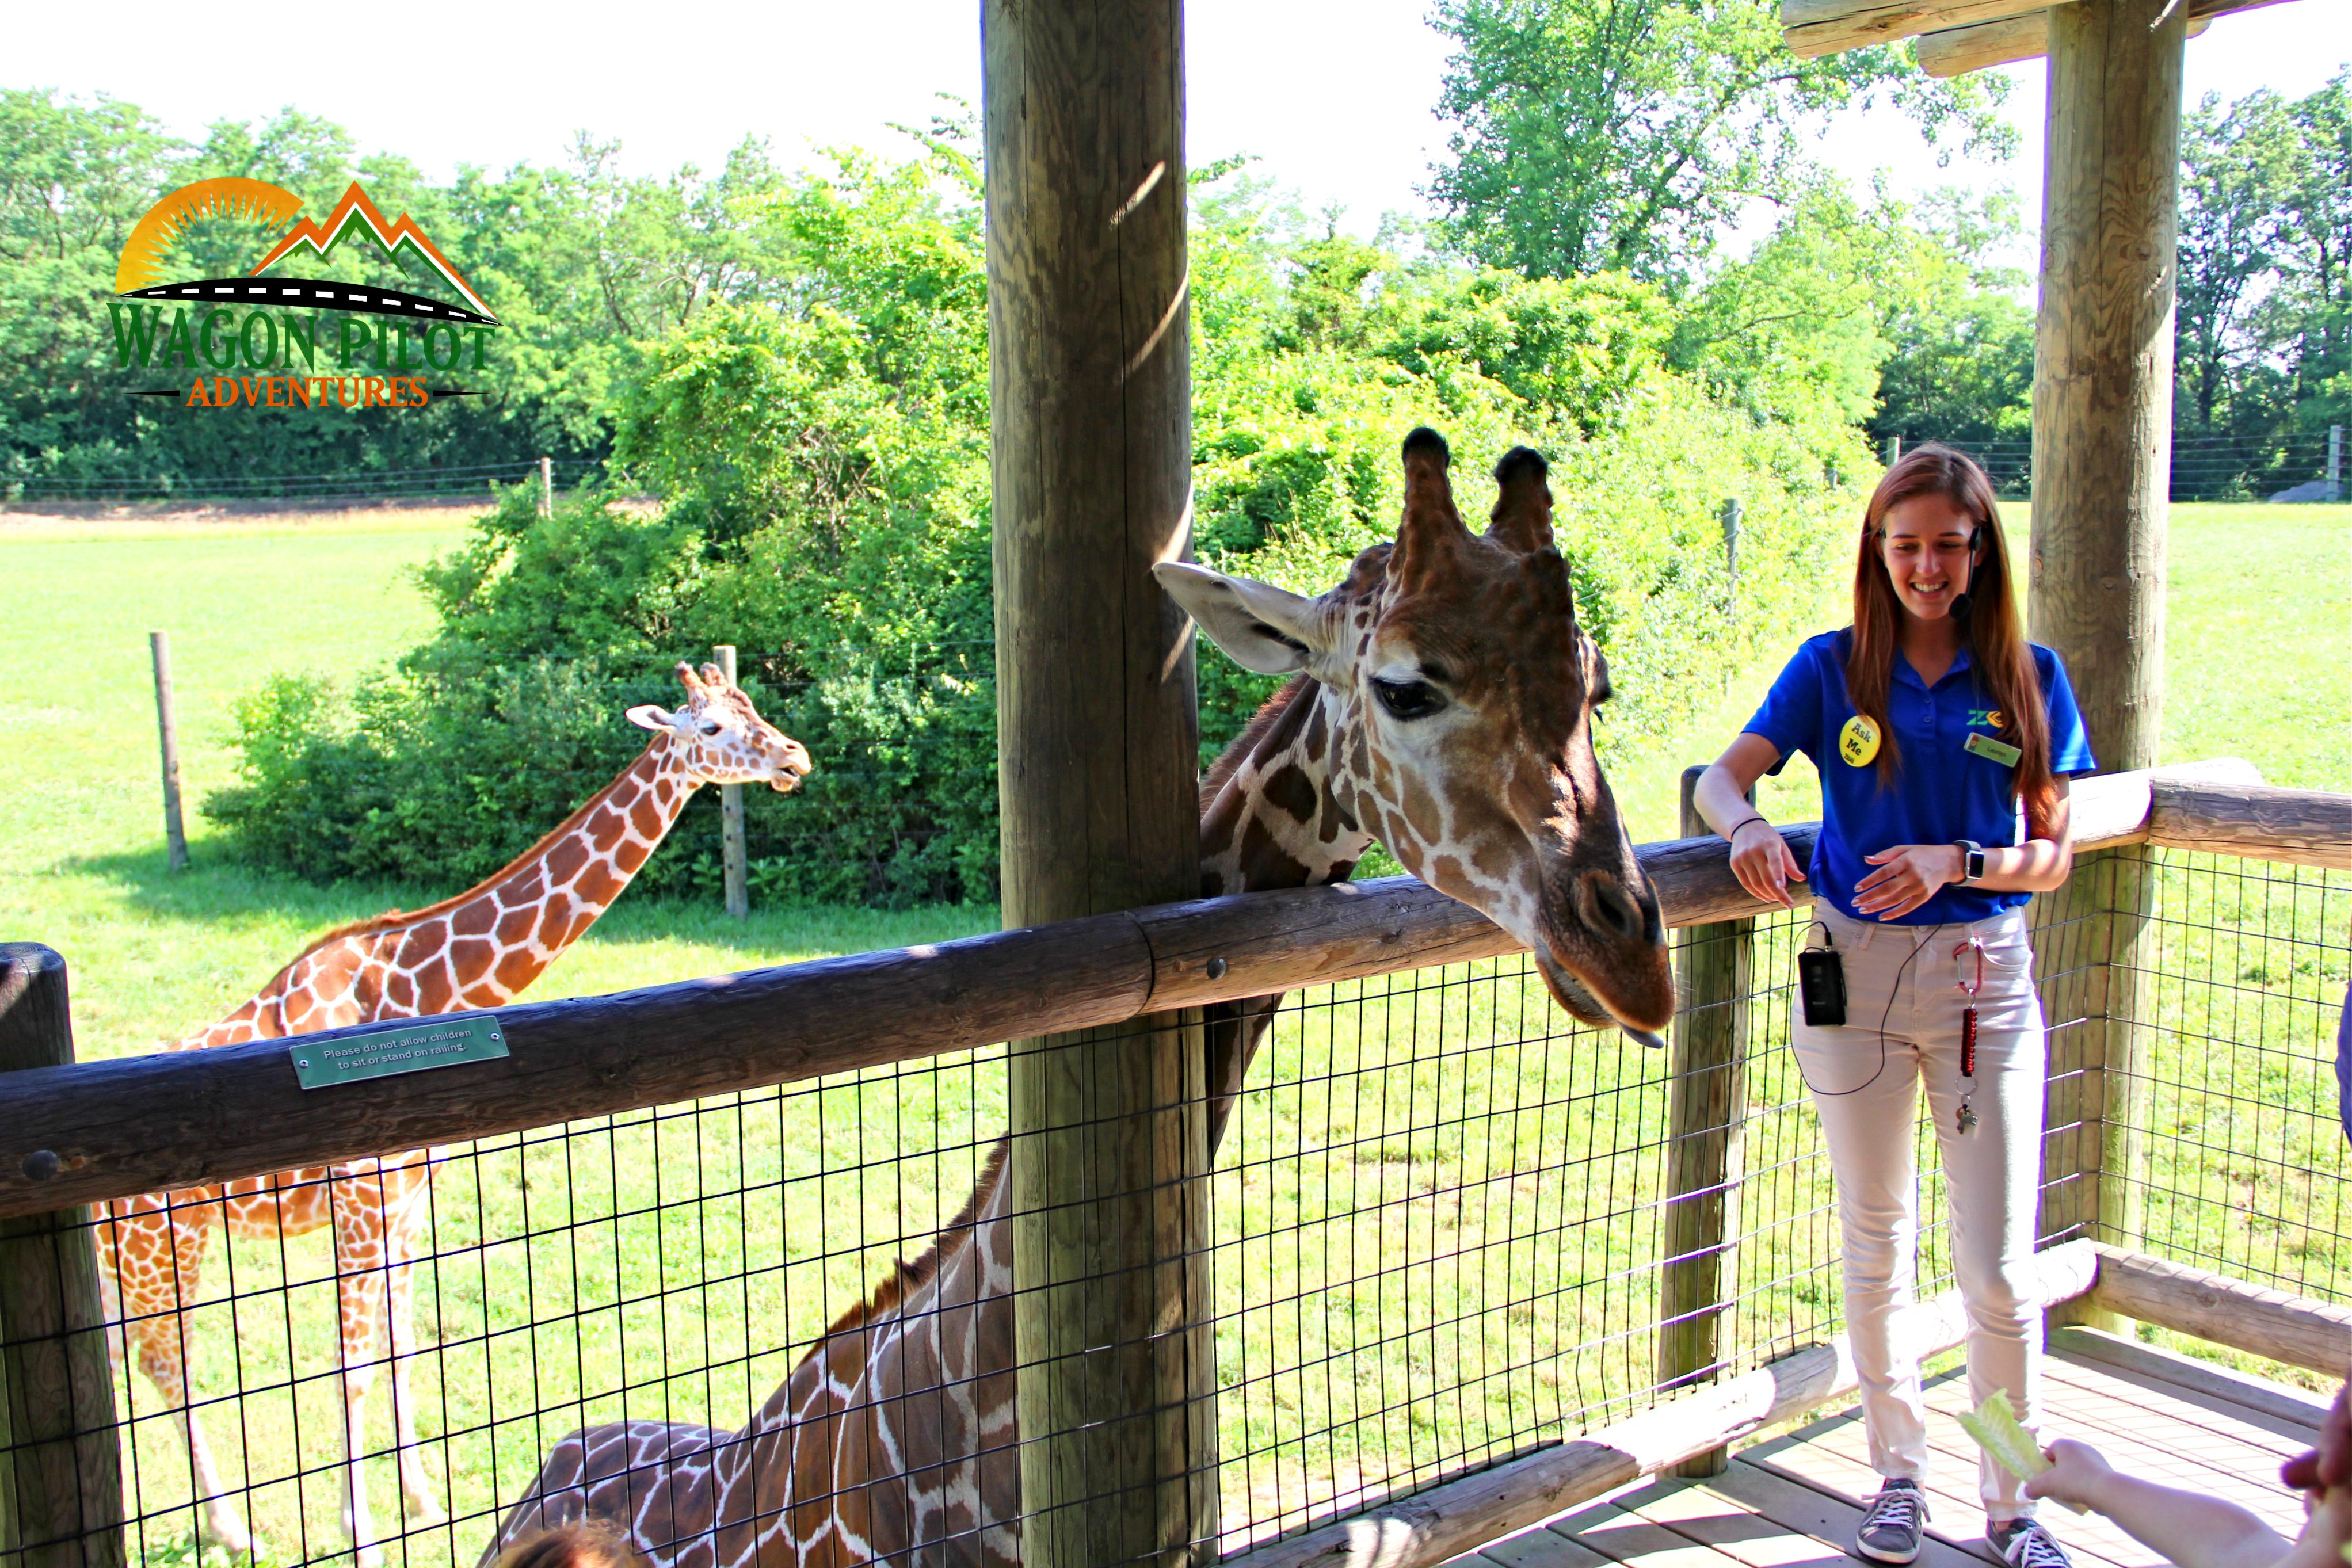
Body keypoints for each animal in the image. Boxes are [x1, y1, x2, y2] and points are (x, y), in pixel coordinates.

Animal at [101, 663, 814, 1568]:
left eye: (753, 706)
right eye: (714, 727)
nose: (794, 756)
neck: (422, 991)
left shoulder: (408, 1203)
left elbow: (403, 1347)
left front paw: (421, 1497)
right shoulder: (358, 1205)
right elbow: (350, 1366)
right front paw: (361, 1533)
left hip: (131, 1256)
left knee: (128, 1356)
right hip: (164, 1244)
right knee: (171, 1362)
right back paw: (230, 1525)